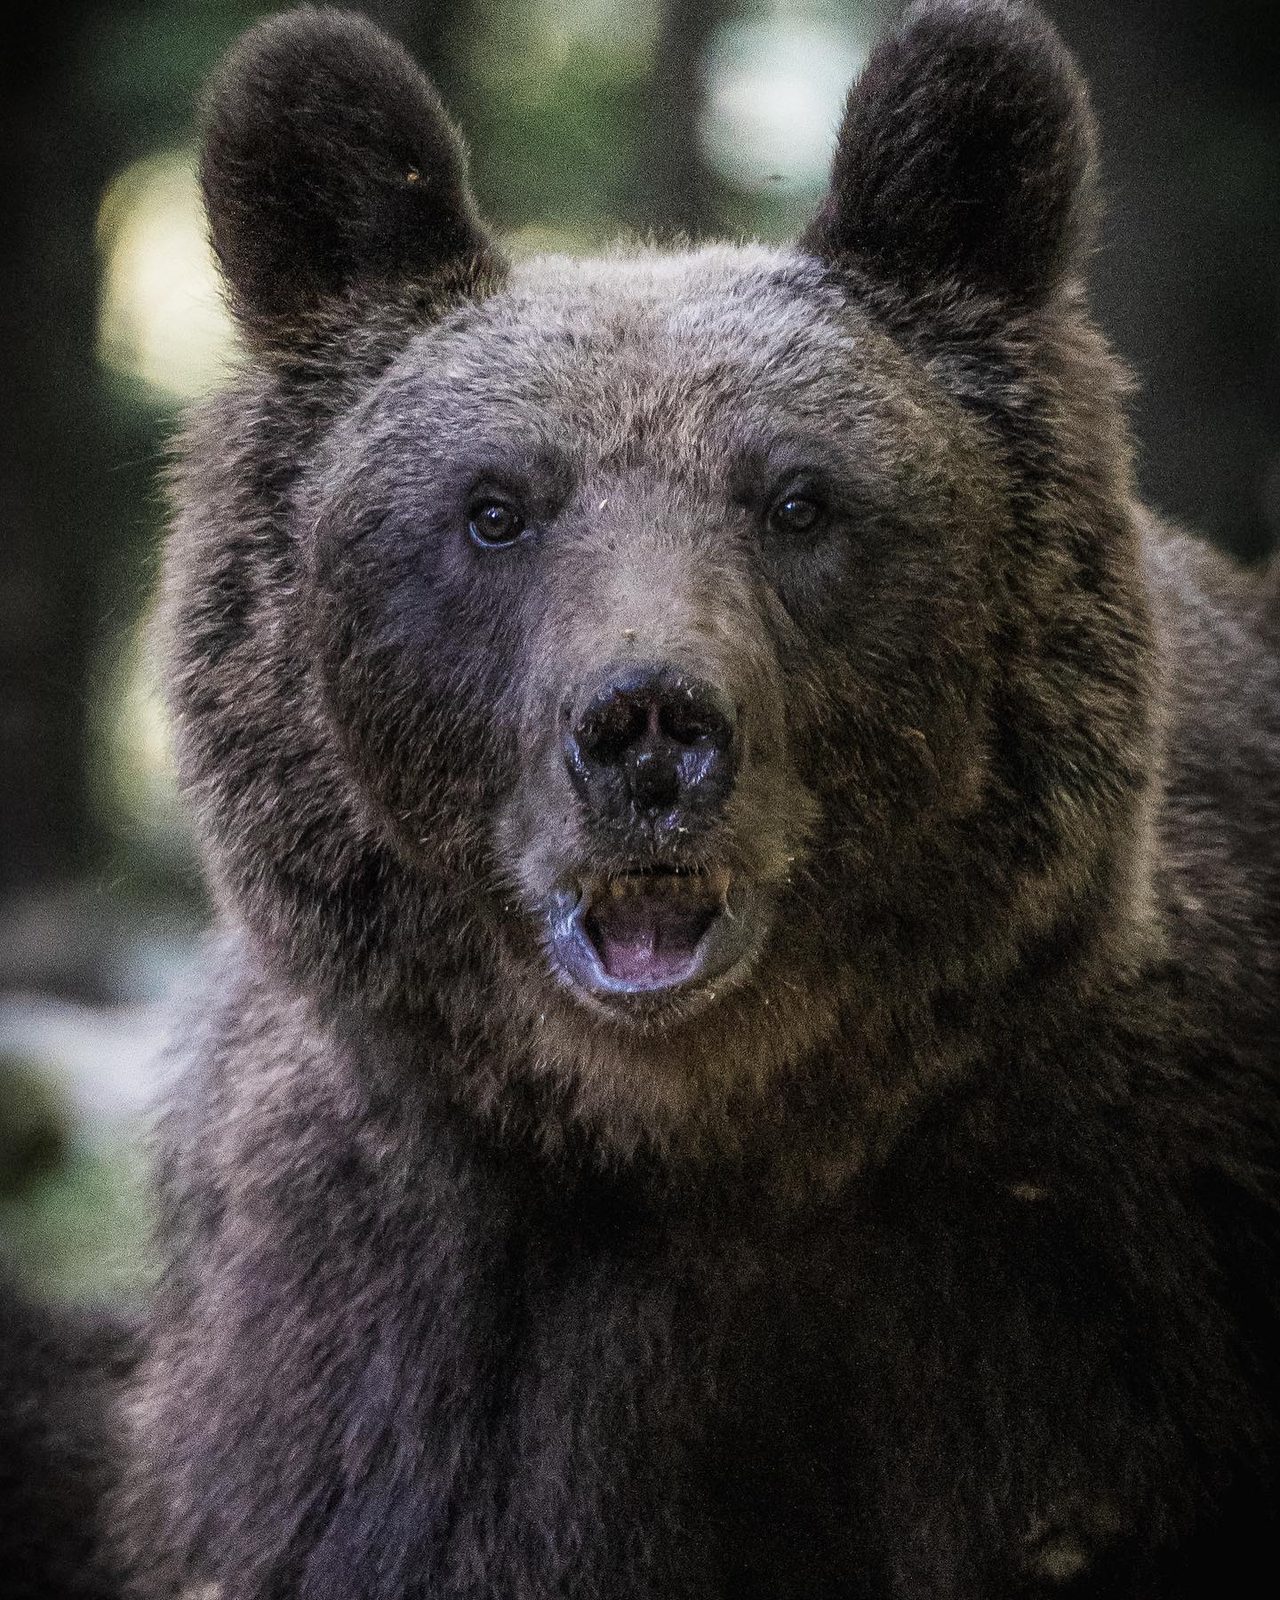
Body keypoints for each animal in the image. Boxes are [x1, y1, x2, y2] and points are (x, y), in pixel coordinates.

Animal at [116, 2, 1279, 1596]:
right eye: (494, 507)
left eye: (798, 498)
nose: (650, 729)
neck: (714, 1139)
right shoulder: (415, 1352)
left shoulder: (1098, 1283)